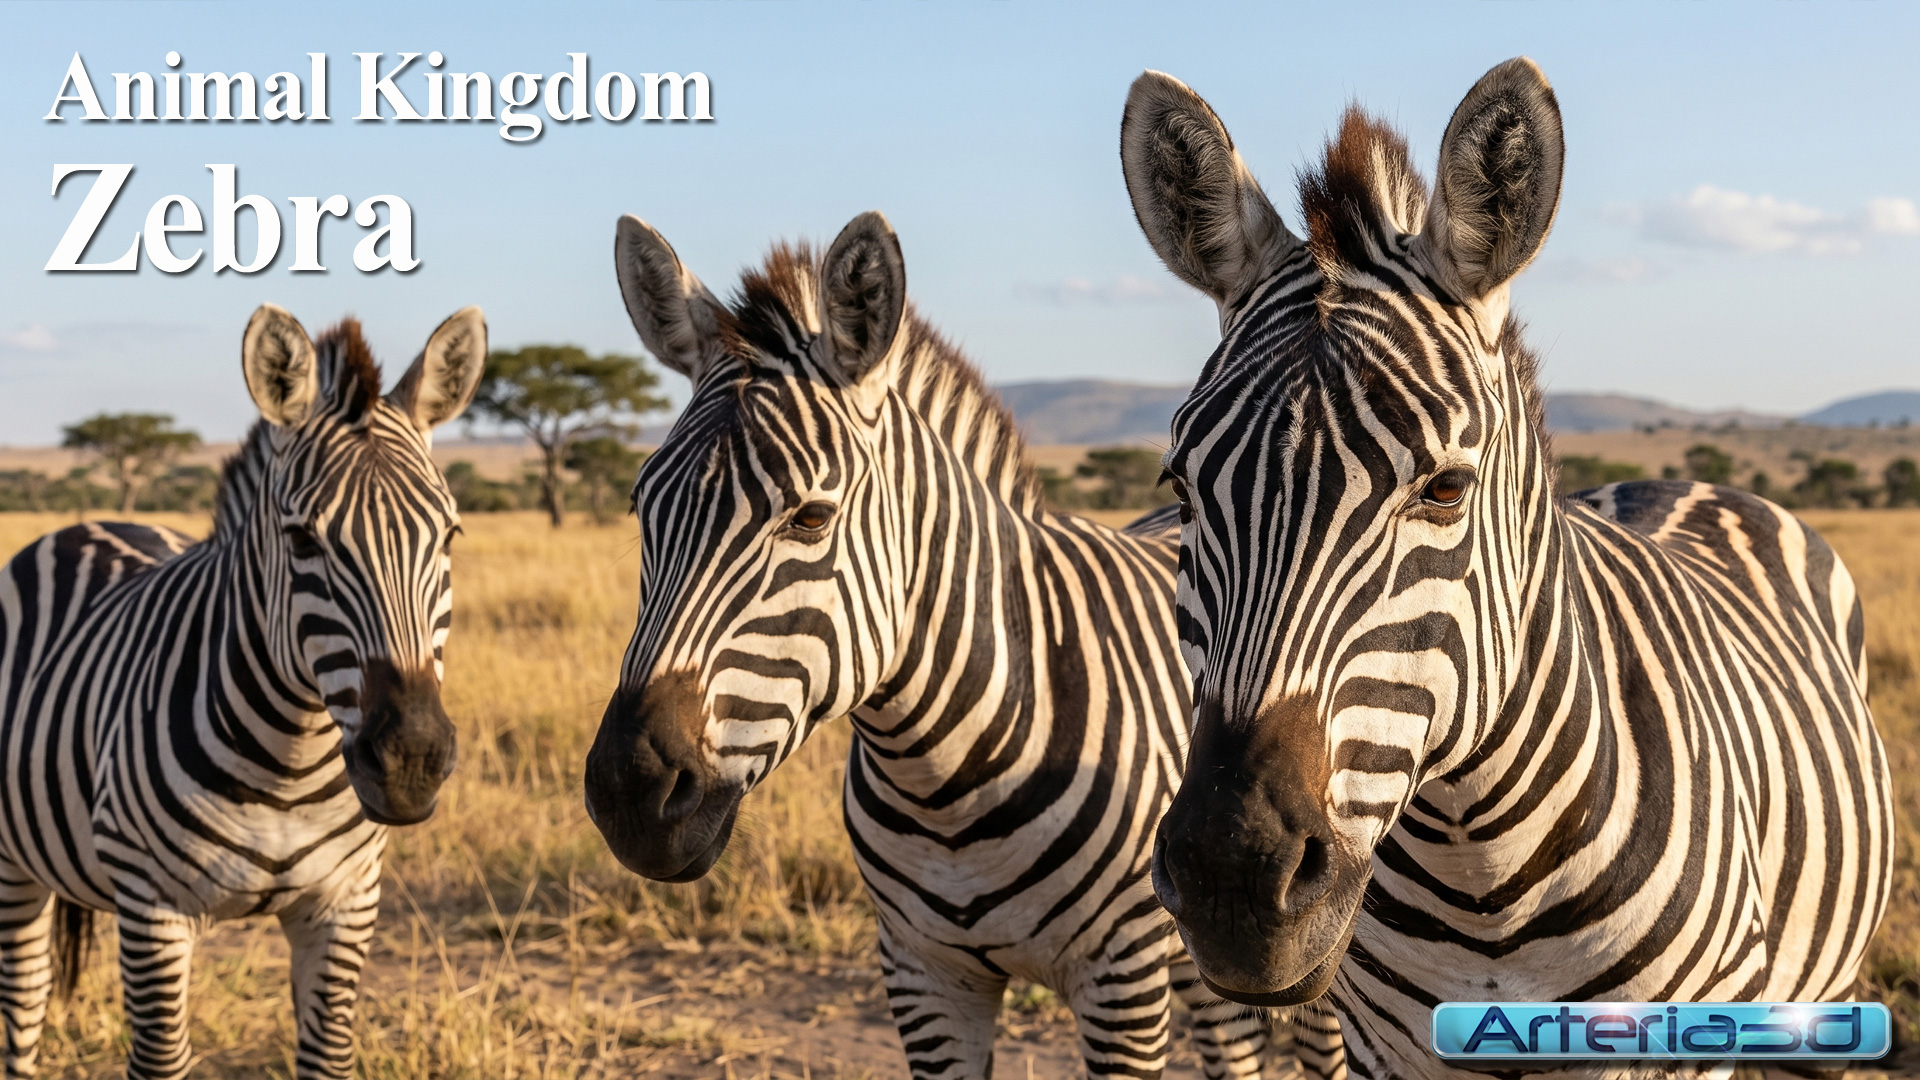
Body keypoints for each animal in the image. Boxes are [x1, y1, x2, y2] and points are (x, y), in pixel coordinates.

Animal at [0, 304, 485, 1079]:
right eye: (303, 541)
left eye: (450, 536)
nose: (411, 761)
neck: (290, 764)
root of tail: (85, 523)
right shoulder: (154, 910)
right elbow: (161, 1058)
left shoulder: (346, 903)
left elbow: (327, 1054)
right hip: (13, 865)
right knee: (22, 1008)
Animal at [582, 211, 1342, 1080]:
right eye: (640, 506)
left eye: (810, 517)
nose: (629, 789)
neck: (946, 777)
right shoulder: (922, 974)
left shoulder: (1119, 978)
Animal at [1117, 56, 1893, 1078]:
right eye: (1183, 487)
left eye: (1446, 488)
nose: (1232, 881)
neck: (1478, 867)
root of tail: (1676, 480)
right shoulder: (1389, 1049)